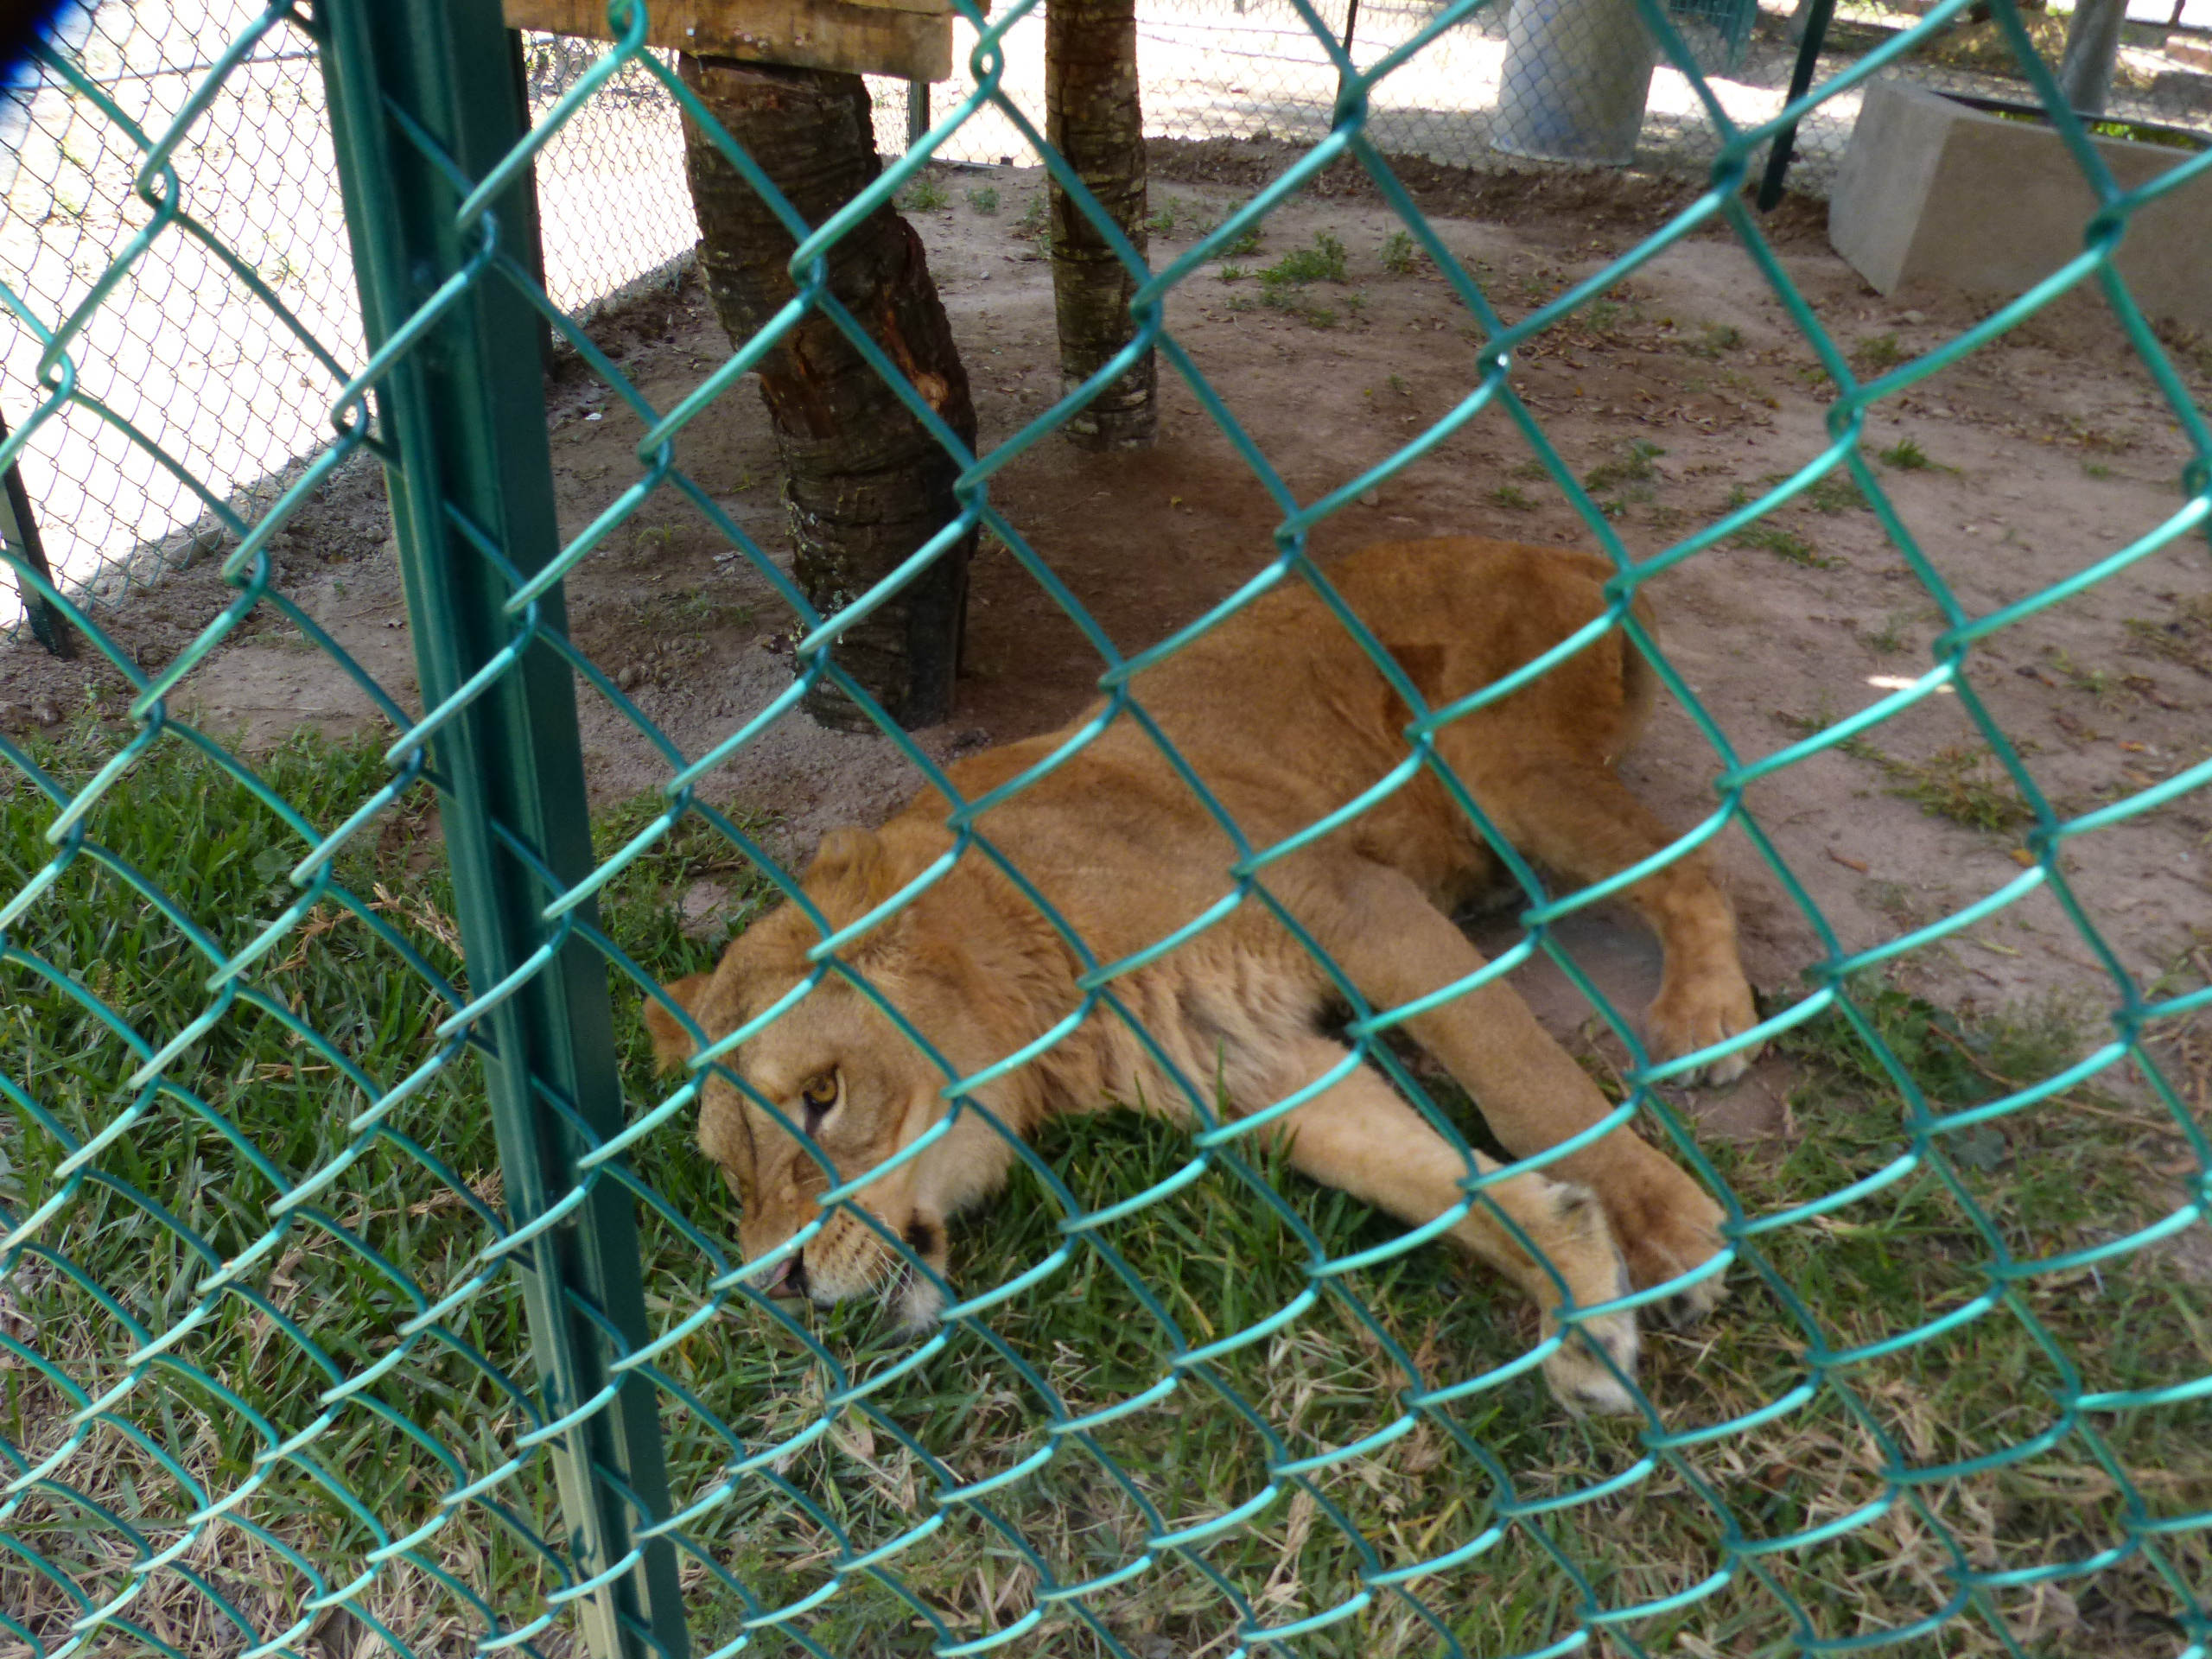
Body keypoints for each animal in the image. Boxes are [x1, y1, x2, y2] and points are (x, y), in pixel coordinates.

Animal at [645, 542, 1760, 1415]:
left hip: (1502, 759)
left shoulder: (1358, 905)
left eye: (822, 1097)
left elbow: (1524, 1086)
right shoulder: (1245, 1063)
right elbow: (1435, 1181)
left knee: (1694, 862)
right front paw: (1579, 1291)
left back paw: (1707, 1020)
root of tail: (1557, 553)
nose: (780, 1285)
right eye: (726, 1172)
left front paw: (1663, 1229)